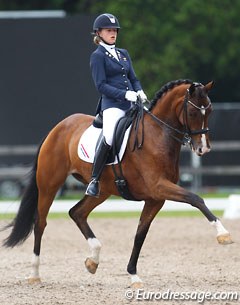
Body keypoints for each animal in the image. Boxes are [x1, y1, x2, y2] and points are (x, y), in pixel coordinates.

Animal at [2, 78, 232, 288]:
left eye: (210, 111)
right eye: (193, 113)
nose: (203, 149)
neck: (157, 135)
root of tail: (58, 127)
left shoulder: (155, 199)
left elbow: (140, 235)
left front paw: (133, 275)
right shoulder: (159, 187)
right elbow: (196, 198)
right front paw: (223, 234)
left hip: (102, 190)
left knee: (77, 213)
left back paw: (93, 260)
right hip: (49, 185)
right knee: (40, 223)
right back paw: (34, 274)